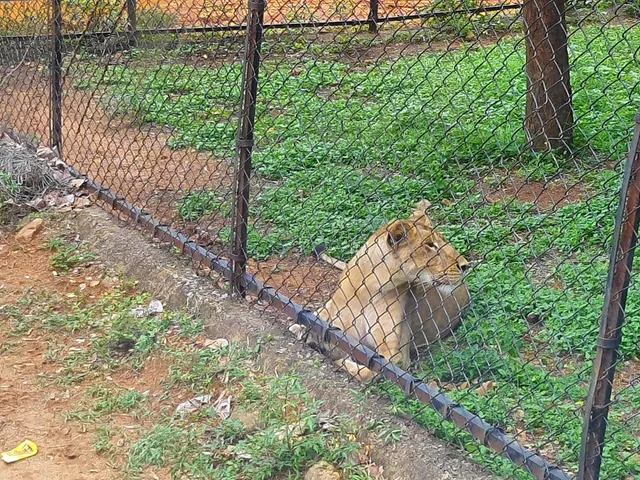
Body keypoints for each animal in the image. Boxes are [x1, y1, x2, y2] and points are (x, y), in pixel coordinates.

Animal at [307, 201, 470, 382]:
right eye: (430, 245)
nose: (465, 265)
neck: (369, 289)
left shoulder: (397, 354)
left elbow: (366, 371)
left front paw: (336, 355)